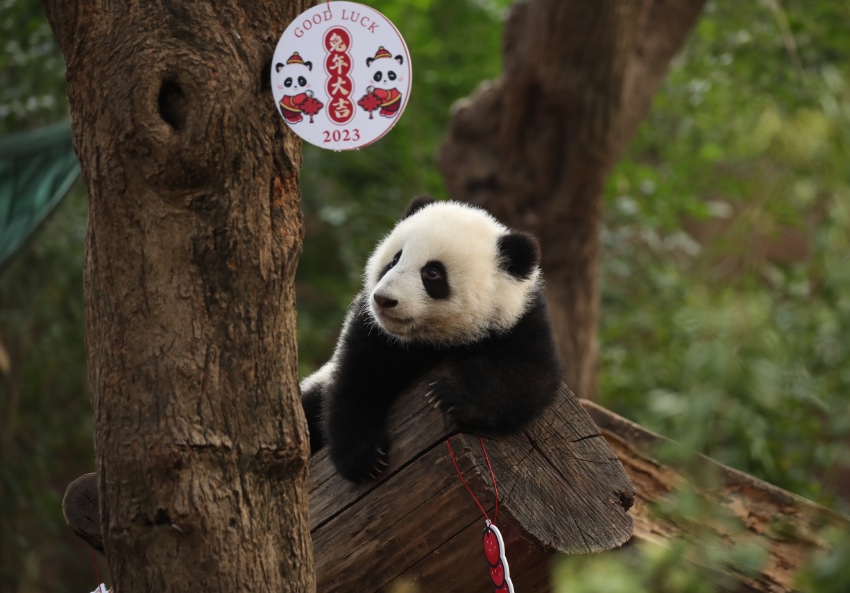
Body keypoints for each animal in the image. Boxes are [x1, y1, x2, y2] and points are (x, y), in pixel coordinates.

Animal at [301, 196, 563, 482]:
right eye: (394, 260)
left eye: (433, 273)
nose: (383, 300)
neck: (428, 341)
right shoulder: (374, 333)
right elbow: (356, 379)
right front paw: (362, 458)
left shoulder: (520, 323)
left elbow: (527, 378)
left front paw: (450, 393)